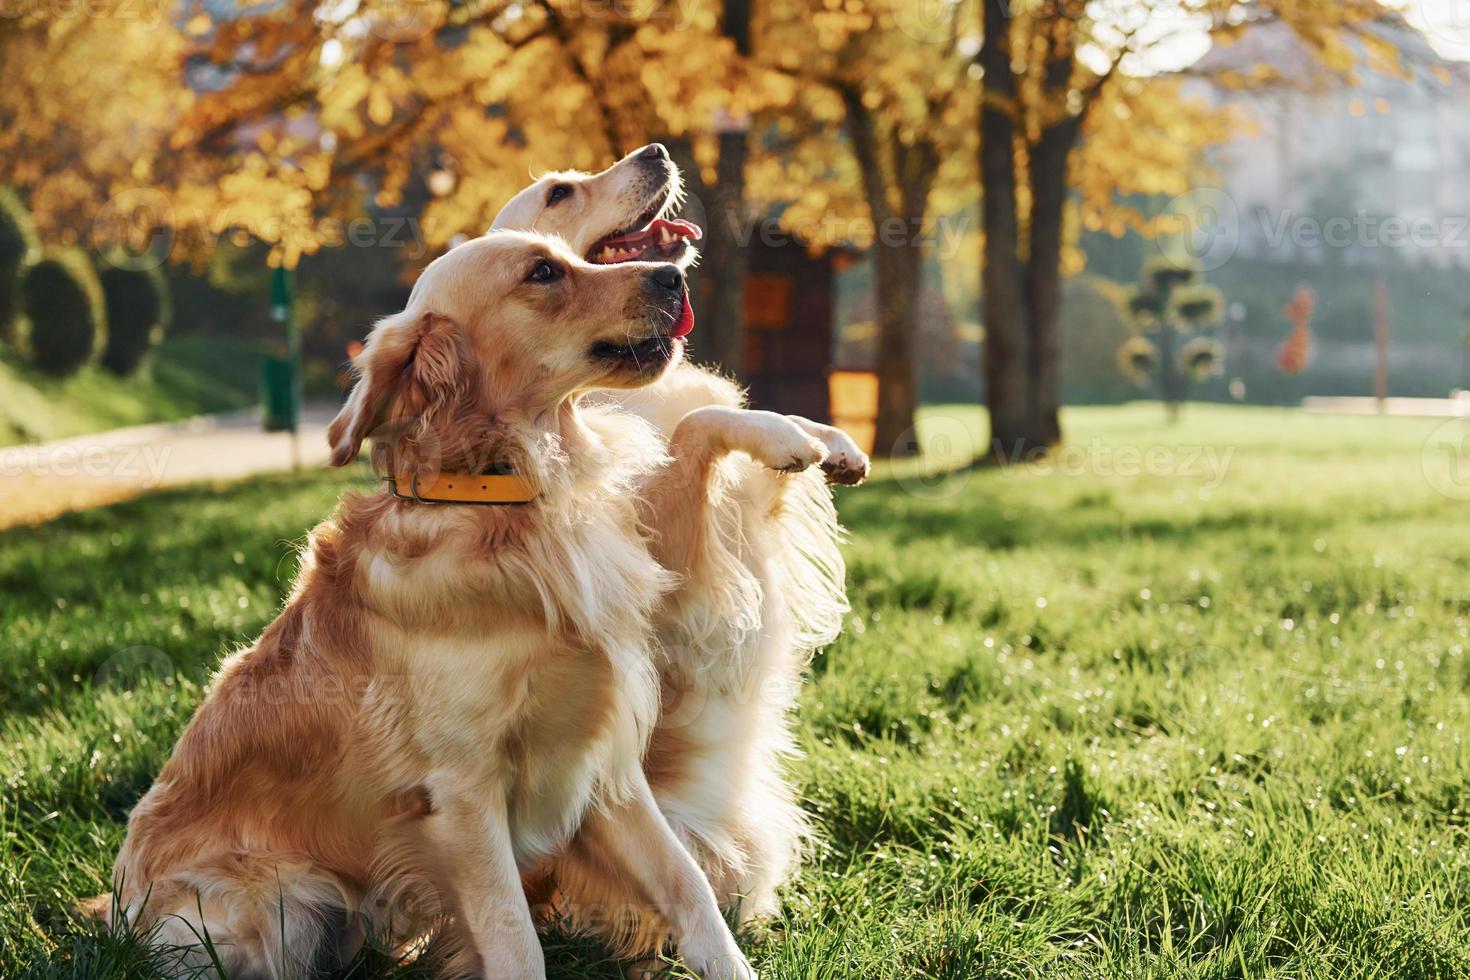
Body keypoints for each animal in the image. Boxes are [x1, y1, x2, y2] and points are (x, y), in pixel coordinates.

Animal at [88, 232, 758, 980]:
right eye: (543, 272)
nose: (675, 276)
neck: (507, 501)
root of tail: (115, 910)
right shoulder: (462, 791)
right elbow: (515, 939)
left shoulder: (601, 763)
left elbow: (686, 883)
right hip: (284, 905)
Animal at [488, 147, 864, 963]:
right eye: (559, 193)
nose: (657, 151)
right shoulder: (677, 579)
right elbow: (700, 425)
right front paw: (789, 437)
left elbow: (737, 419)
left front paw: (830, 438)